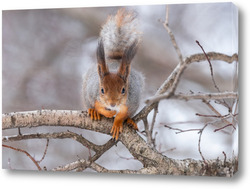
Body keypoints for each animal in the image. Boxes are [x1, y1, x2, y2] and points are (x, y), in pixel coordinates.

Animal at [82, 8, 144, 140]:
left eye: (123, 90)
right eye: (102, 90)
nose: (112, 103)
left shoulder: (132, 100)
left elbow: (123, 114)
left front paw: (117, 123)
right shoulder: (93, 93)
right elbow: (99, 106)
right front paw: (107, 112)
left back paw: (130, 120)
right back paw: (92, 111)